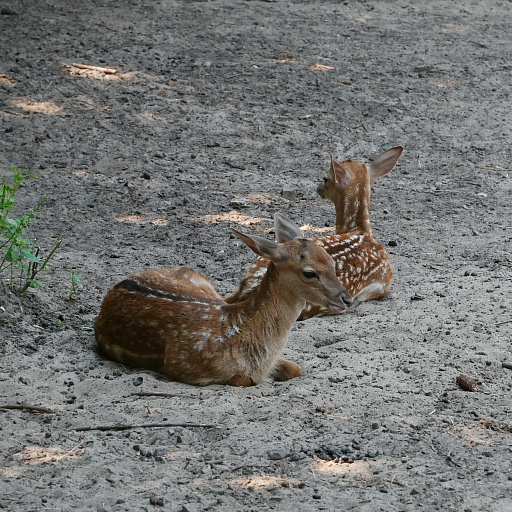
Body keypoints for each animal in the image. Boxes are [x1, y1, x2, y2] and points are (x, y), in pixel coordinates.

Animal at [94, 214, 352, 386]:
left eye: (331, 260)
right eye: (309, 272)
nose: (347, 298)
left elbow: (295, 368)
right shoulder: (183, 366)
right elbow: (244, 380)